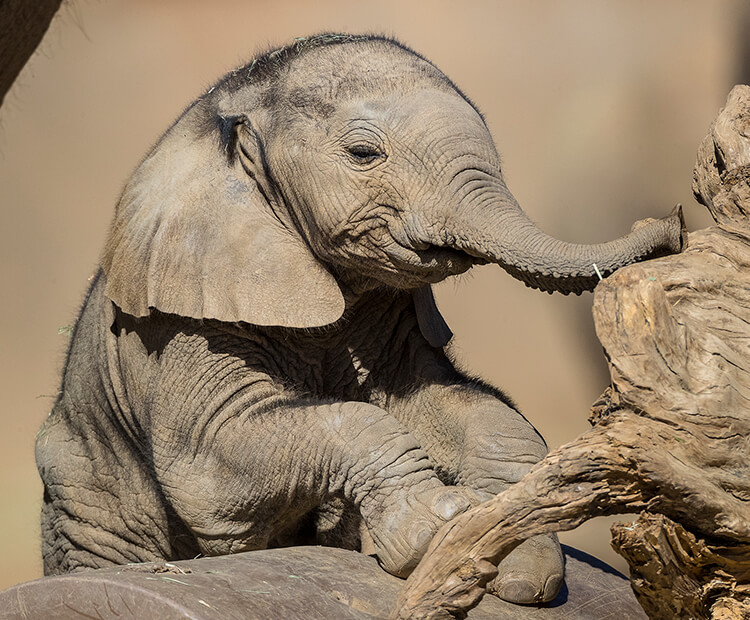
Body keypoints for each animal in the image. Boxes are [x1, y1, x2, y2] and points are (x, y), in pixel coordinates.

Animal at [39, 35, 688, 604]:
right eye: (363, 155)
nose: (669, 223)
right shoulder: (182, 319)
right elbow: (217, 459)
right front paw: (434, 533)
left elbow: (457, 405)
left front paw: (513, 556)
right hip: (84, 511)